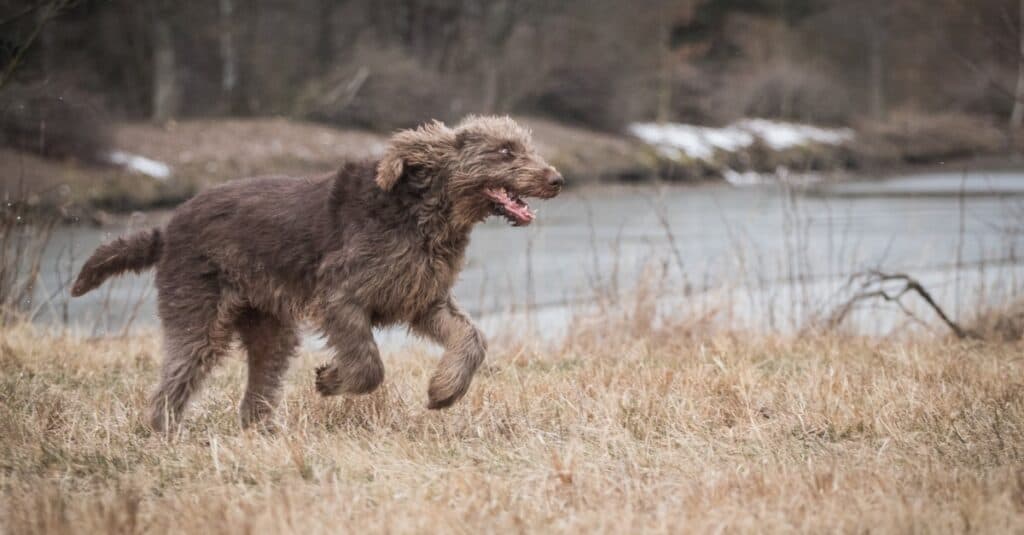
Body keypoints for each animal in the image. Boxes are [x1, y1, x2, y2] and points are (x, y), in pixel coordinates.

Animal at [70, 116, 569, 428]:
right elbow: (368, 366)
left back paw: (263, 434)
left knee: (256, 392)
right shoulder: (340, 298)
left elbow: (471, 338)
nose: (558, 179)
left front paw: (444, 390)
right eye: (504, 151)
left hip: (270, 330)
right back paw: (165, 433)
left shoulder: (424, 300)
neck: (424, 210)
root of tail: (168, 228)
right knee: (173, 382)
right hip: (199, 318)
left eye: (526, 147)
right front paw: (332, 380)